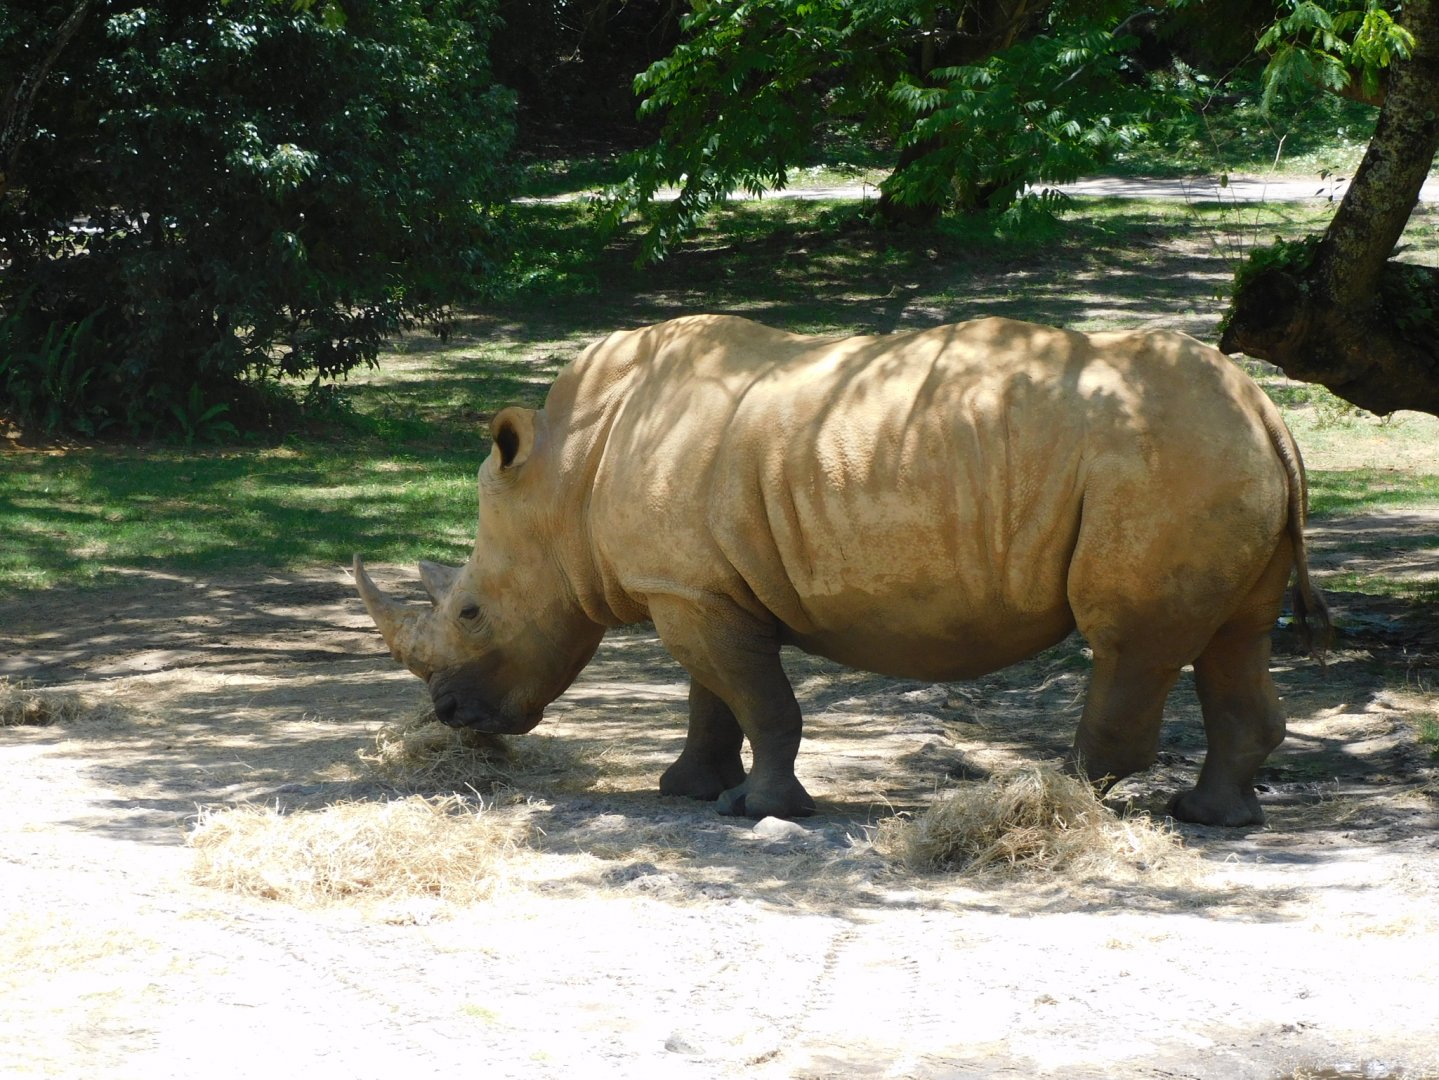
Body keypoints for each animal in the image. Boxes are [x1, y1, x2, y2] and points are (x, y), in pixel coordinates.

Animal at [354, 315, 1328, 827]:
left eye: (471, 612)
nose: (451, 717)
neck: (565, 477)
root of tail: (1266, 412)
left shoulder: (693, 594)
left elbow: (760, 702)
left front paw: (760, 811)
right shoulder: (696, 586)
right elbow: (712, 696)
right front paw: (688, 791)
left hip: (1163, 467)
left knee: (1130, 641)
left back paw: (1052, 802)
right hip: (1212, 461)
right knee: (1233, 636)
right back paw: (1213, 818)